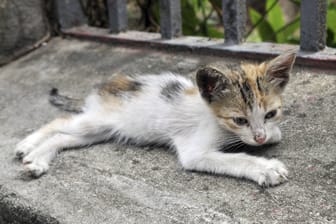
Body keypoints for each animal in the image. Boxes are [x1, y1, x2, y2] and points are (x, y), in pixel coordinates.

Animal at [14, 51, 296, 186]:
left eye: (270, 114)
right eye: (239, 120)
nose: (259, 138)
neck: (216, 120)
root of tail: (103, 90)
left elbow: (274, 133)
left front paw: (270, 135)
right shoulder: (194, 151)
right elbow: (235, 159)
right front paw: (266, 168)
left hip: (98, 132)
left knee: (63, 137)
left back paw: (36, 160)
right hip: (97, 120)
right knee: (60, 122)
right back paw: (26, 146)